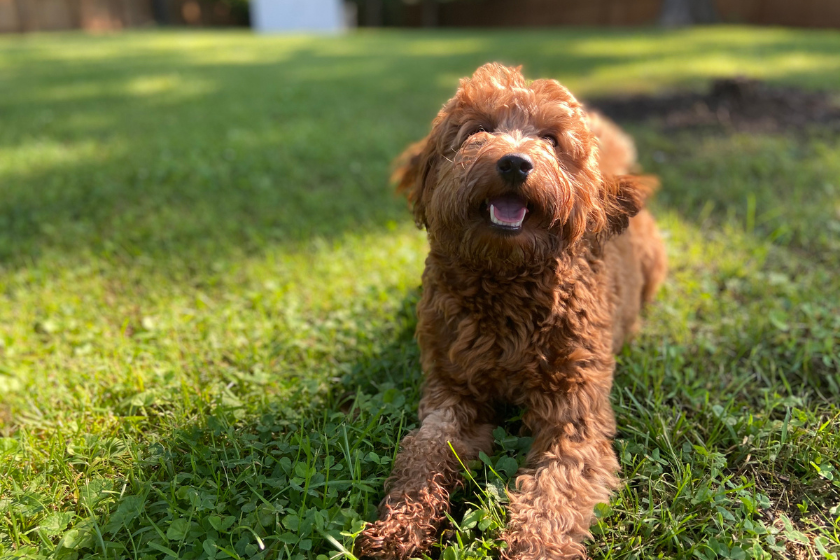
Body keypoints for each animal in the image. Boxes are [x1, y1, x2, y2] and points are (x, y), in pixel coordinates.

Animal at [354, 63, 664, 556]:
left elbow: (554, 493)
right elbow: (423, 456)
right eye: (478, 129)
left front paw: (531, 547)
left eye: (552, 139)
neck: (506, 285)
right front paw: (398, 527)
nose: (515, 162)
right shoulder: (452, 394)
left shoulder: (573, 416)